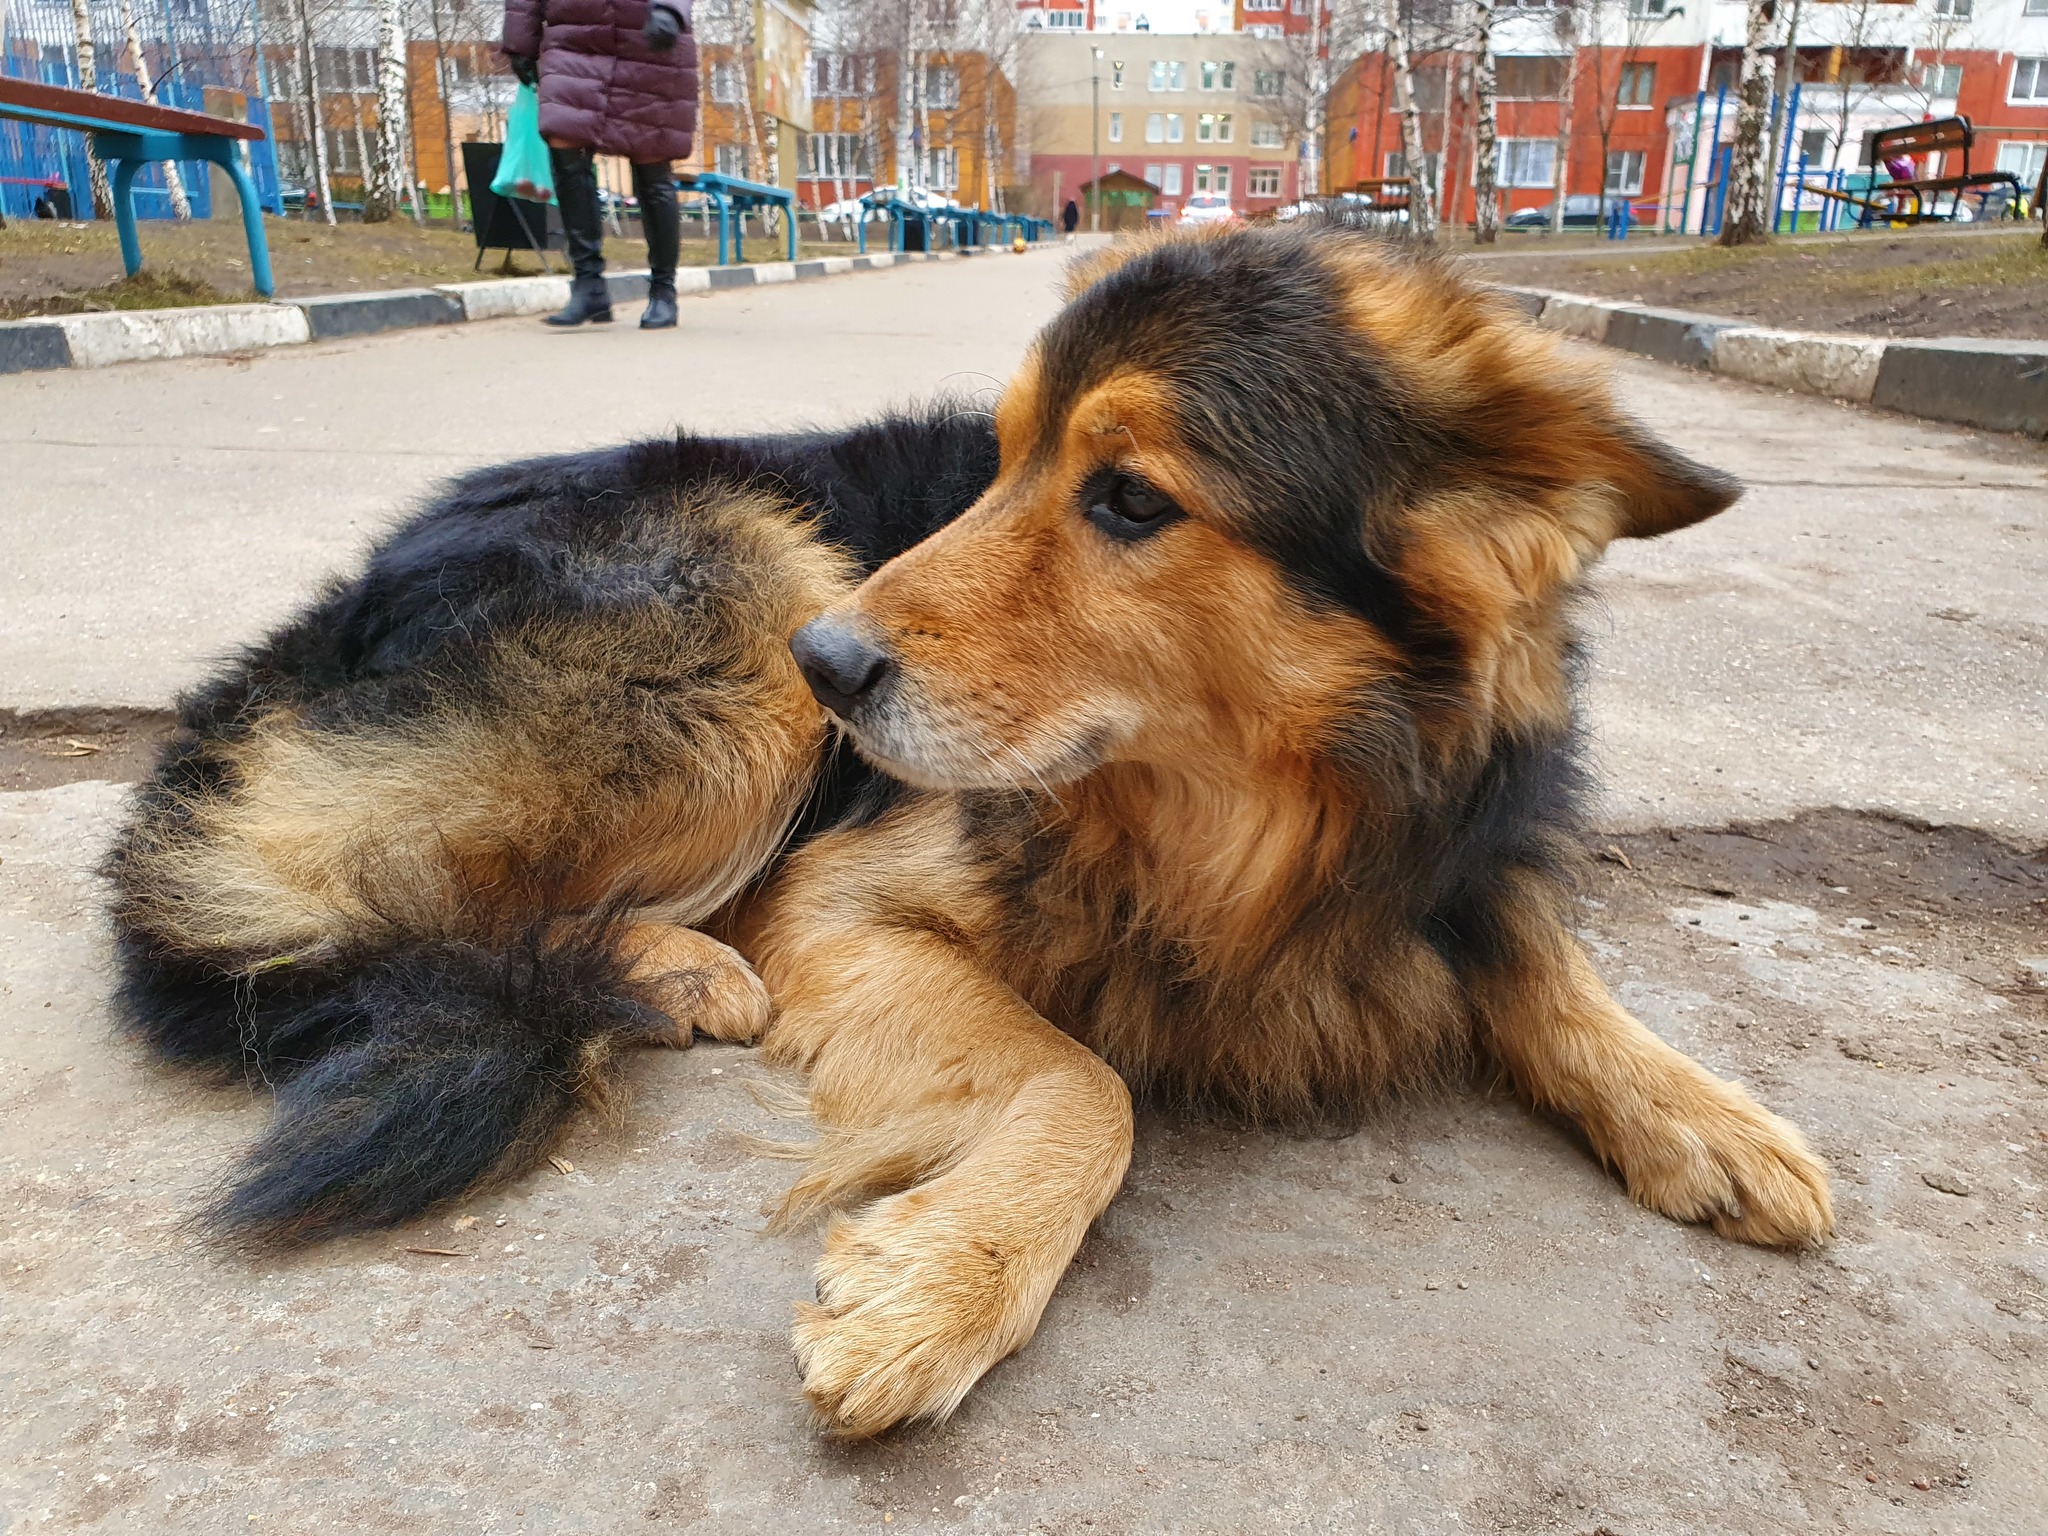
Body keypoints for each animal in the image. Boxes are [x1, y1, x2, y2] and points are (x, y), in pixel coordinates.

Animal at [103, 228, 1835, 1441]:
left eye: (1129, 499)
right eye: (1001, 463)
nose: (834, 670)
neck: (1263, 819)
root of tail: (343, 596)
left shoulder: (1455, 840)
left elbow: (1545, 957)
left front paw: (1705, 1110)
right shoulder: (843, 897)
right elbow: (1089, 1083)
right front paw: (941, 1284)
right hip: (748, 586)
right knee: (387, 893)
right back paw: (662, 965)